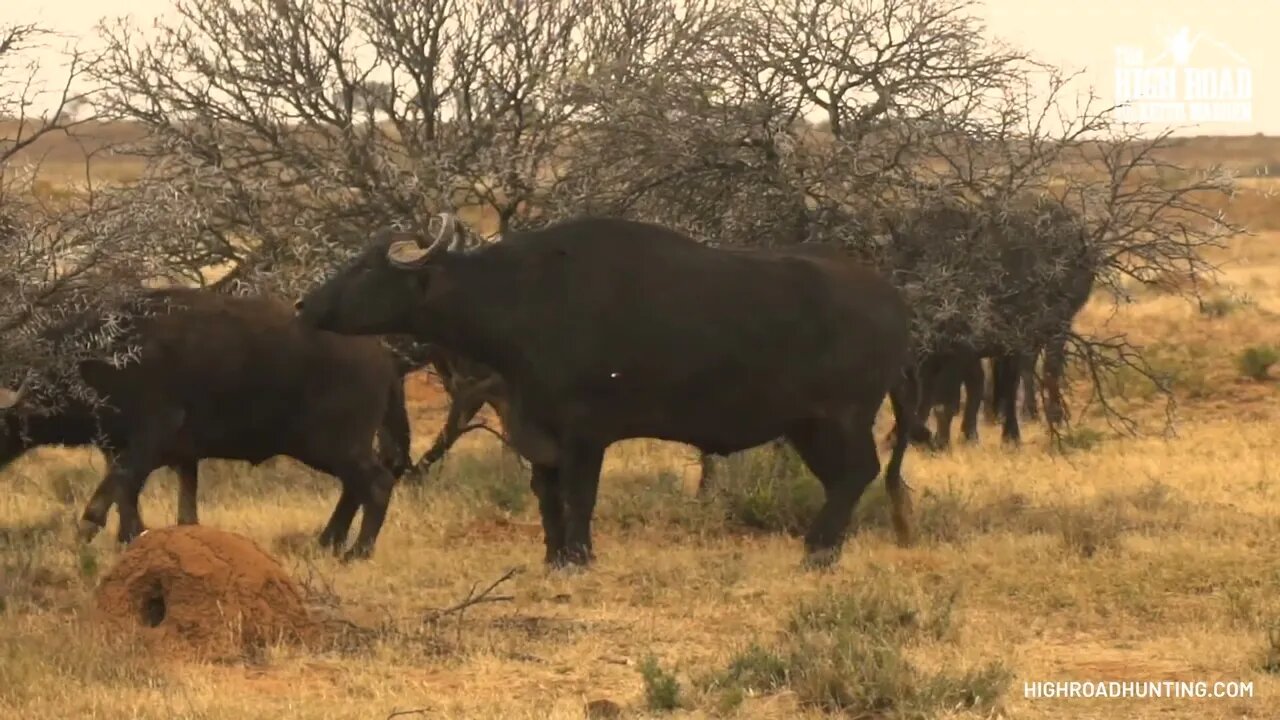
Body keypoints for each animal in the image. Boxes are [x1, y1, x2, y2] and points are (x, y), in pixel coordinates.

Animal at [0, 288, 409, 558]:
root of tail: (383, 356)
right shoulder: (144, 450)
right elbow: (138, 495)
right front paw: (125, 535)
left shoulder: (151, 436)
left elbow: (120, 486)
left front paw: (96, 533)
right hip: (337, 450)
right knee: (355, 488)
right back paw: (328, 542)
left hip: (332, 445)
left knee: (376, 484)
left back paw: (358, 551)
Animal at [296, 211, 921, 566]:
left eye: (370, 269)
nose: (305, 304)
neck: (525, 300)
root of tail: (893, 300)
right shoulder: (536, 428)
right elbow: (545, 495)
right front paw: (553, 555)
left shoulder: (585, 434)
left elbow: (579, 496)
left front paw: (578, 555)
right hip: (807, 425)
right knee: (843, 479)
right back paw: (823, 546)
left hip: (843, 417)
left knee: (858, 473)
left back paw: (817, 551)